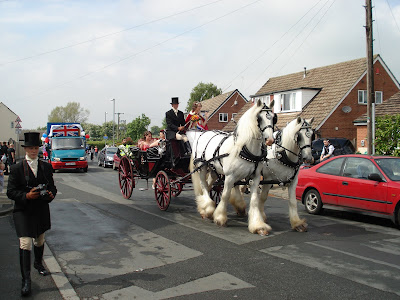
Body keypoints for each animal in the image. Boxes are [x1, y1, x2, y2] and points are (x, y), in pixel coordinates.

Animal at [188, 99, 276, 236]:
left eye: (273, 118)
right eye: (259, 118)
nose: (270, 140)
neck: (245, 149)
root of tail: (202, 134)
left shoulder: (255, 177)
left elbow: (254, 199)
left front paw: (258, 225)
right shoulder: (230, 176)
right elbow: (225, 195)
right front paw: (220, 218)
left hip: (214, 170)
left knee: (208, 184)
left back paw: (206, 207)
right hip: (202, 166)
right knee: (203, 184)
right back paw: (207, 209)